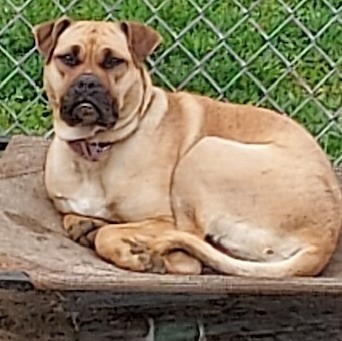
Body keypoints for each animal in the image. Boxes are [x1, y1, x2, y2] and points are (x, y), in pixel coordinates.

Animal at [32, 16, 342, 276]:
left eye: (113, 62)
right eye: (68, 58)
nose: (87, 83)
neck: (95, 149)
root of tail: (321, 243)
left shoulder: (164, 220)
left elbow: (112, 236)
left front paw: (130, 252)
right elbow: (74, 217)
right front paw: (88, 225)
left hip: (203, 153)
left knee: (188, 254)